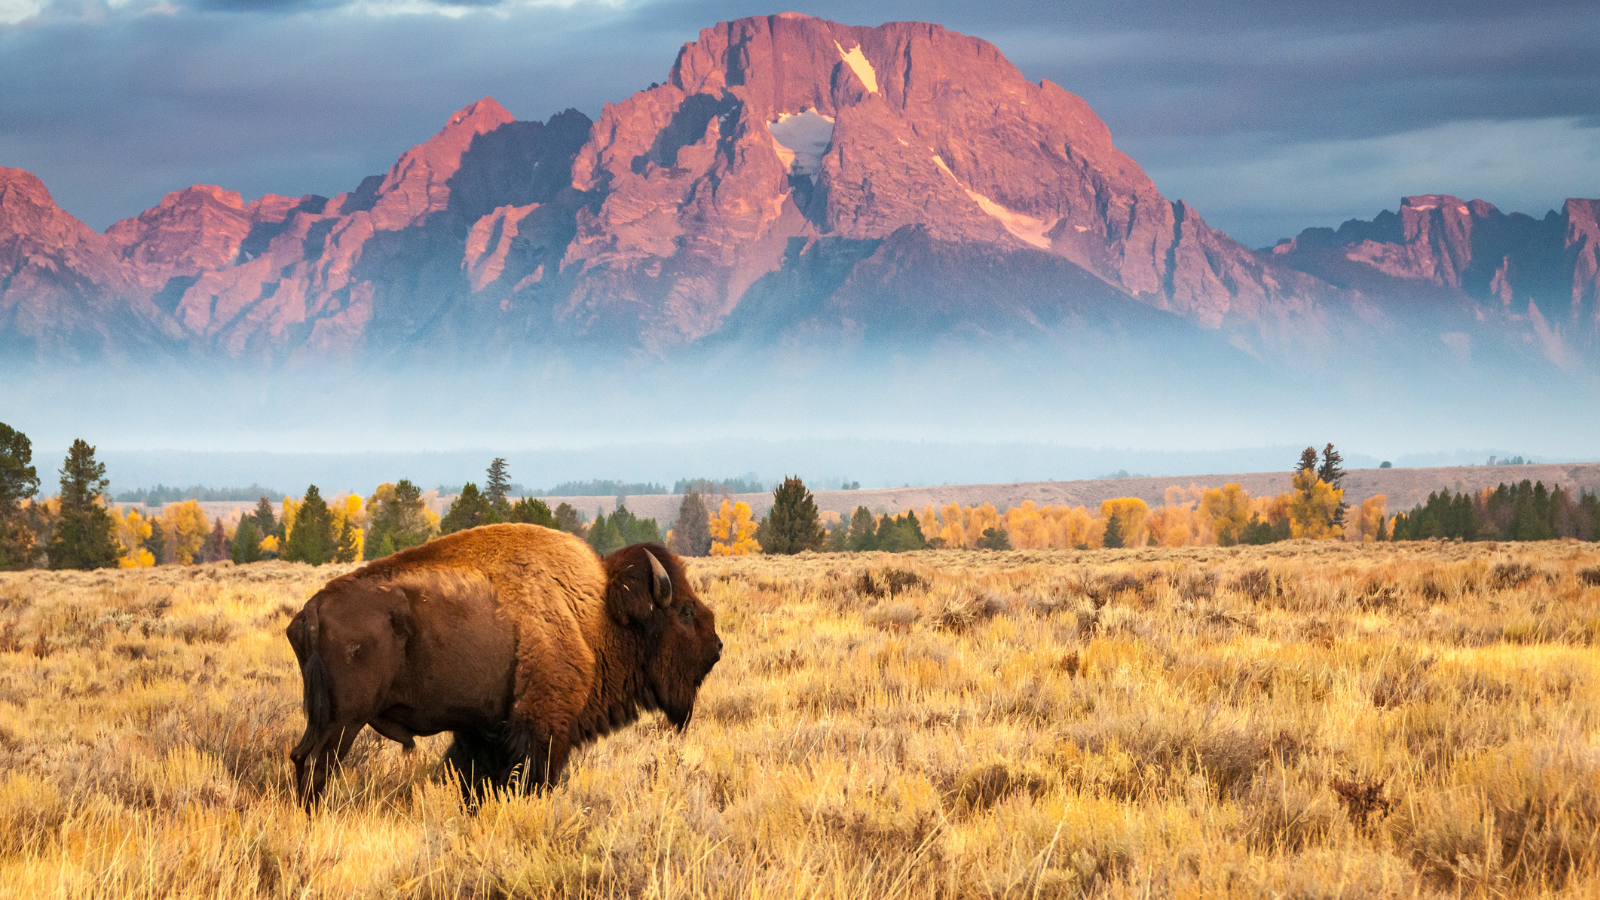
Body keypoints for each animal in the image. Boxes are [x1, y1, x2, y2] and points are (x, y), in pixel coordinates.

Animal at [285, 524, 722, 805]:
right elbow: (532, 780)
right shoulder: (542, 729)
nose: (717, 647)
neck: (596, 614)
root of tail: (313, 609)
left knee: (301, 758)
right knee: (317, 765)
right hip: (343, 721)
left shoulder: (484, 730)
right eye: (684, 612)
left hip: (323, 718)